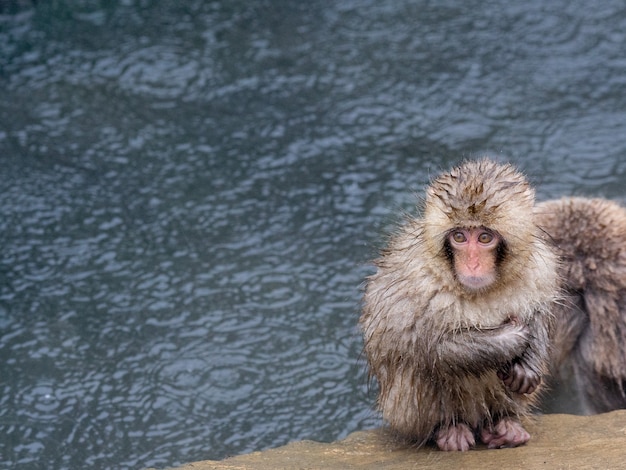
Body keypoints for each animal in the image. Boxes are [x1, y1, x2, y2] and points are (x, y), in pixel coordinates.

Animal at [358, 161, 560, 452]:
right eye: (460, 237)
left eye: (484, 237)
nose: (472, 264)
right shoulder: (417, 279)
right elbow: (423, 346)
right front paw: (509, 338)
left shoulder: (540, 266)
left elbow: (540, 312)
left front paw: (529, 362)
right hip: (400, 411)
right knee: (420, 372)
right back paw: (446, 430)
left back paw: (504, 425)